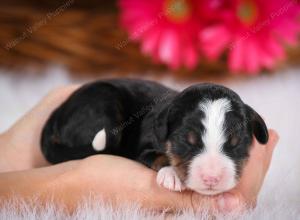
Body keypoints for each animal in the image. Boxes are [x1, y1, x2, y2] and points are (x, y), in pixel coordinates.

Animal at [41, 78, 268, 194]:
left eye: (236, 143)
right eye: (186, 141)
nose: (211, 178)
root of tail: (58, 112)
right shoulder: (144, 146)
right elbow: (158, 155)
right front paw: (172, 175)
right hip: (102, 102)